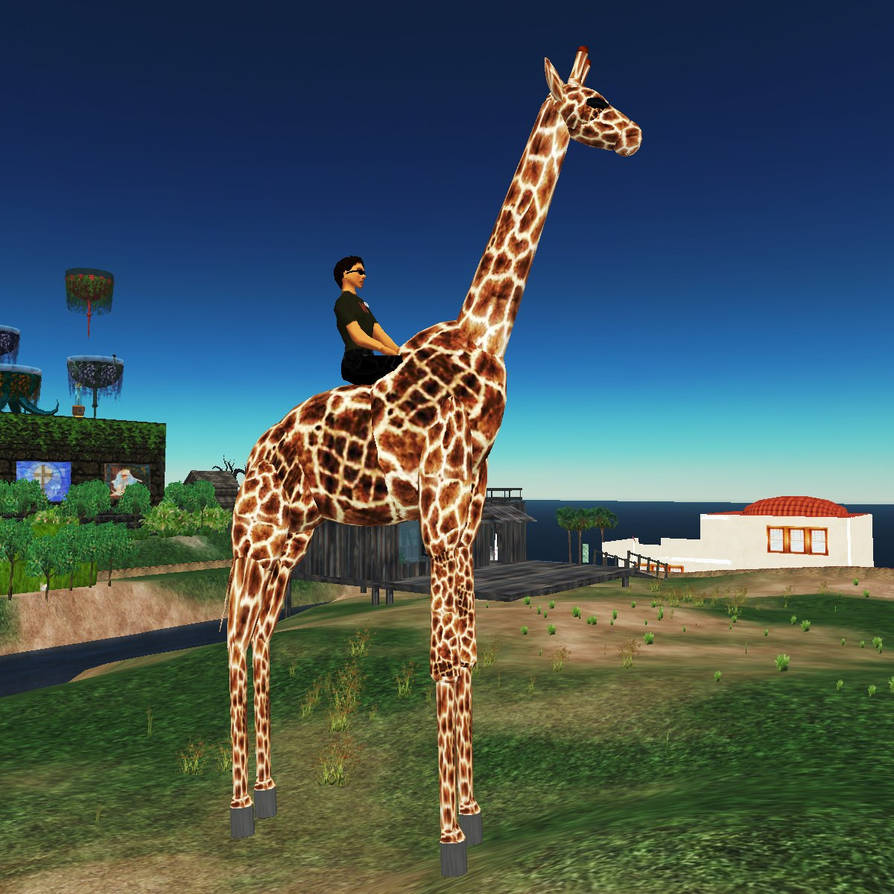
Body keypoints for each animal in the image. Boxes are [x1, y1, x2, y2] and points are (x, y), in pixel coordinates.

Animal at [224, 45, 641, 877]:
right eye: (595, 101)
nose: (636, 133)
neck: (485, 339)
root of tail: (254, 455)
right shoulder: (445, 515)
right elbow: (445, 655)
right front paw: (450, 840)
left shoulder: (470, 514)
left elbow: (468, 650)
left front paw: (475, 816)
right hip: (256, 535)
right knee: (231, 636)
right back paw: (237, 809)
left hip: (289, 541)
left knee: (259, 636)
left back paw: (270, 794)